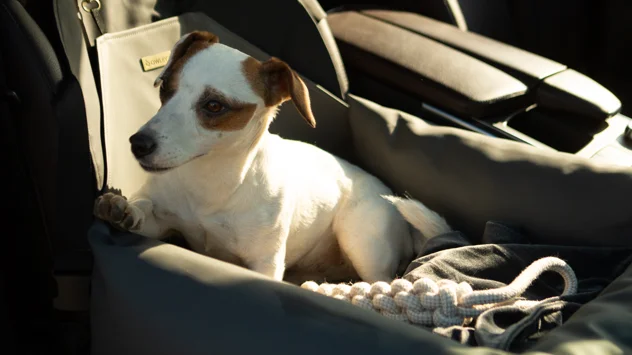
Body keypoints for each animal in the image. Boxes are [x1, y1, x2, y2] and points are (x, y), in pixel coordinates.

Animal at [92, 32, 450, 286]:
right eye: (165, 86)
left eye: (214, 106)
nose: (138, 144)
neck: (212, 183)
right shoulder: (165, 224)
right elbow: (144, 211)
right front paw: (123, 208)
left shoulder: (264, 264)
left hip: (362, 241)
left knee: (384, 281)